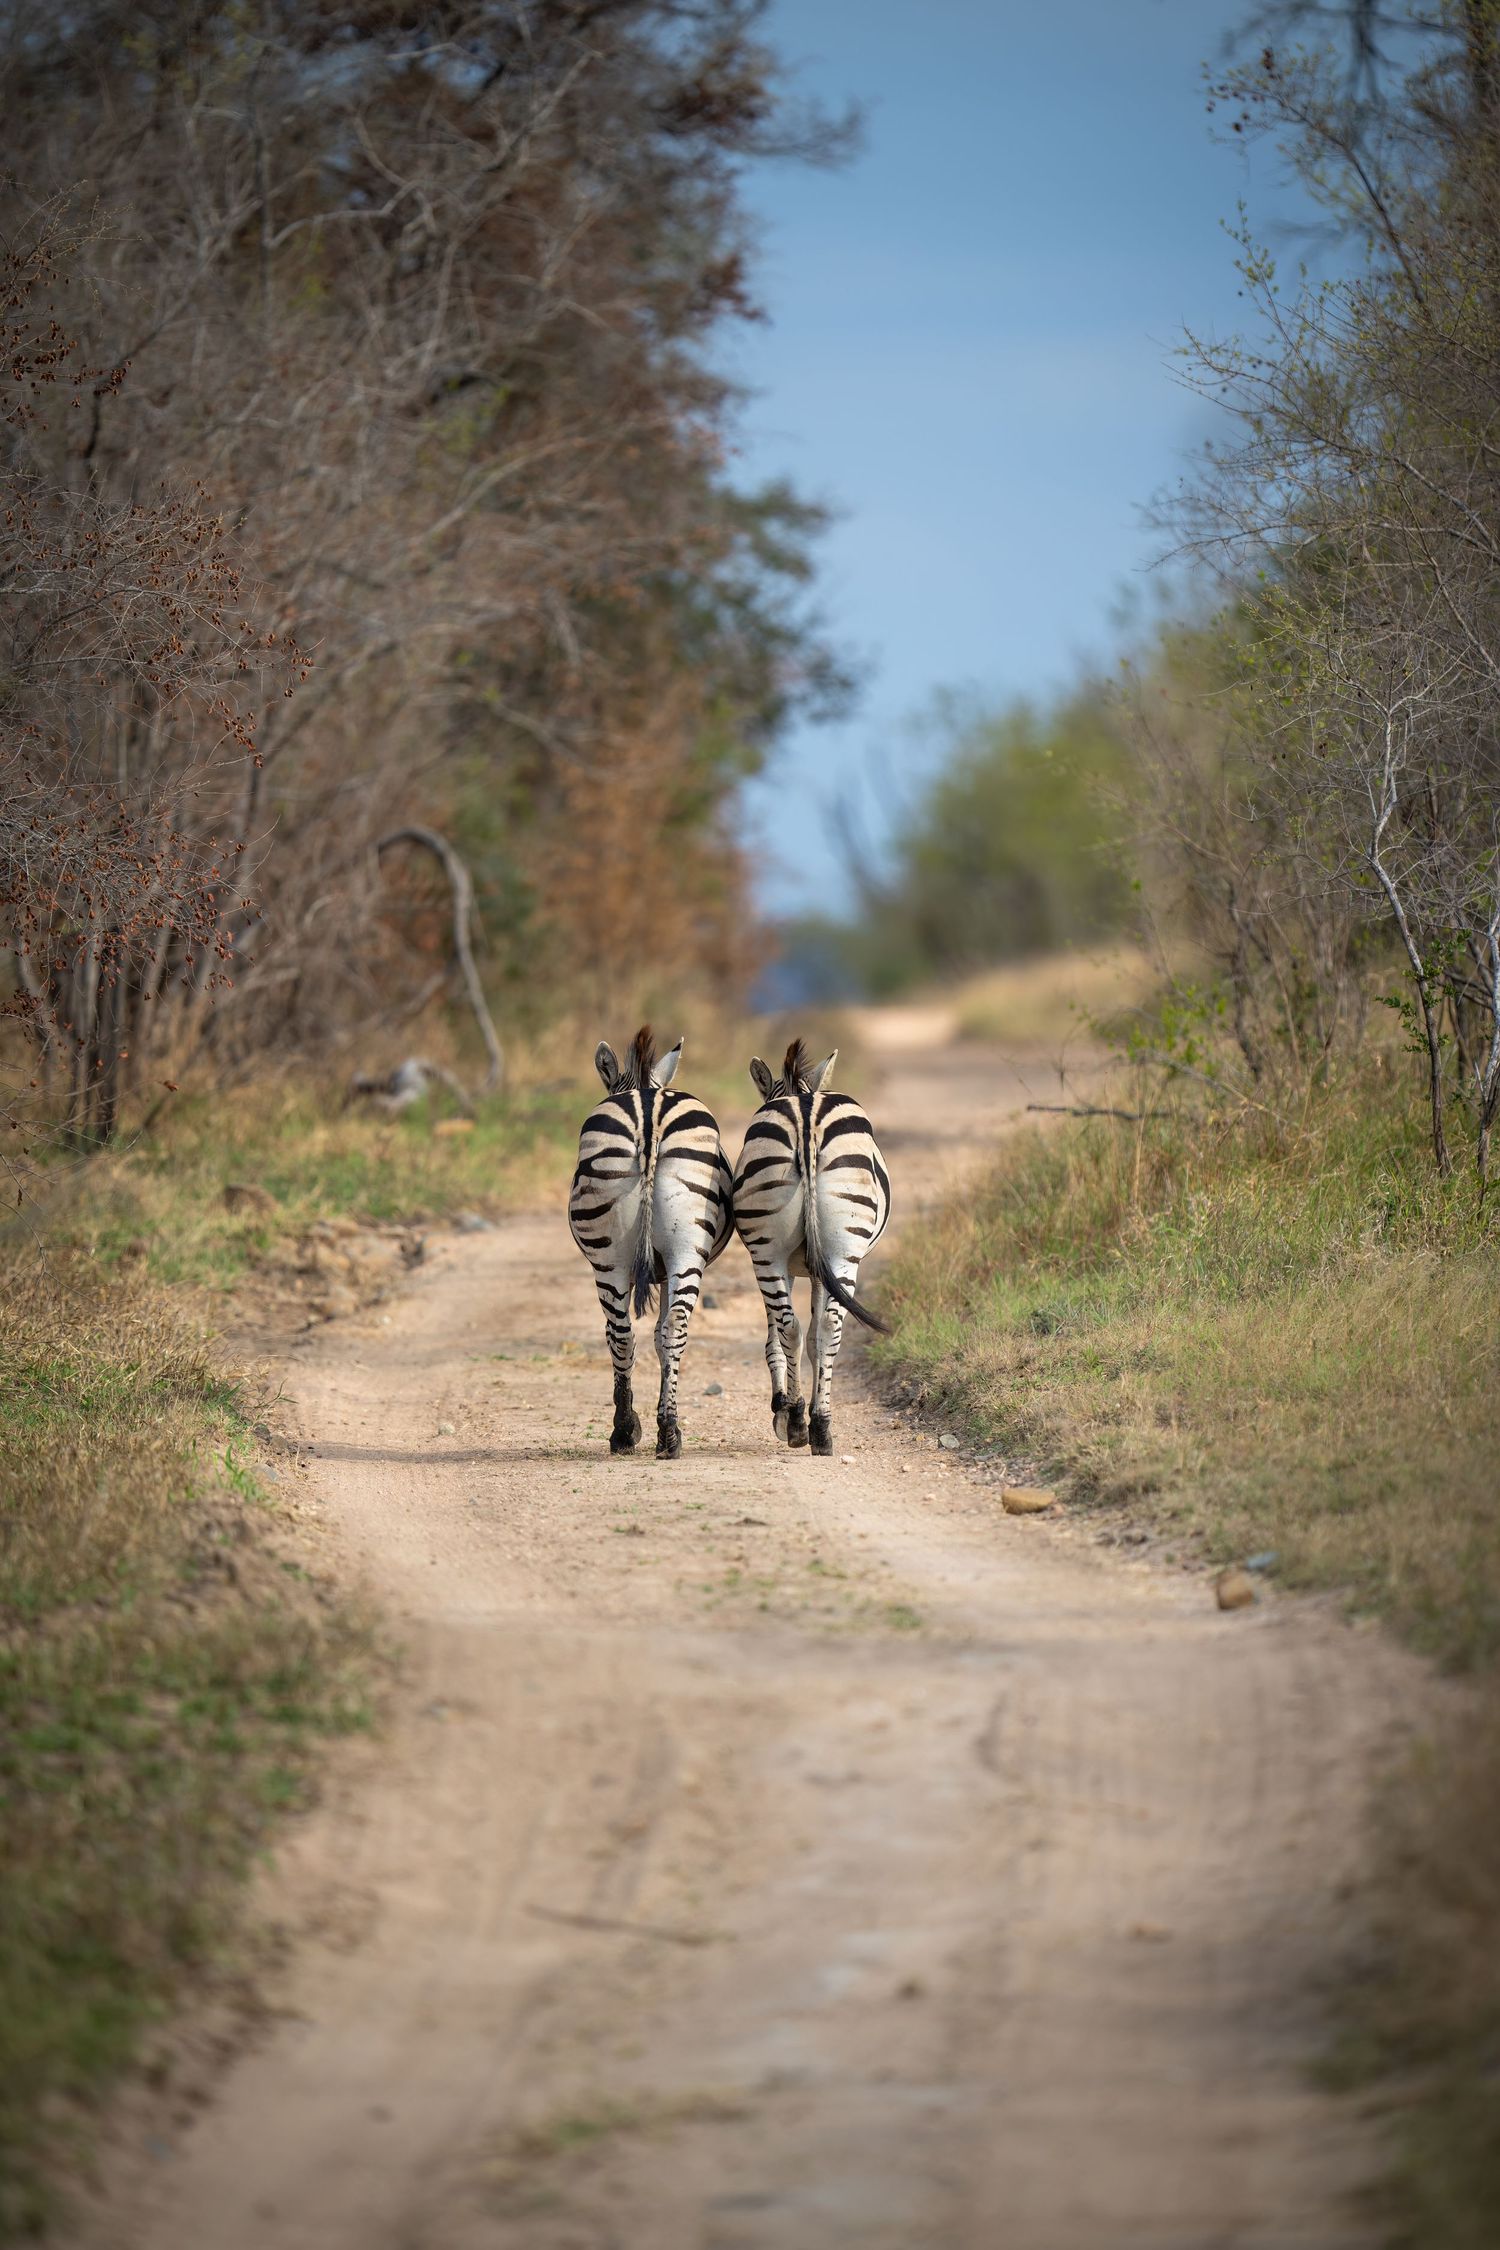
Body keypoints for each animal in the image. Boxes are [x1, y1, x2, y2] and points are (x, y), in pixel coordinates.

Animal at [568, 1025, 733, 1460]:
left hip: (617, 1258)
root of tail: (647, 1112)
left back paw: (638, 1432)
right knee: (657, 1330)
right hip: (680, 1249)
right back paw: (654, 1433)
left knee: (624, 1333)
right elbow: (658, 1336)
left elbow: (651, 1335)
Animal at [732, 1038, 891, 1456]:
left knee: (796, 1327)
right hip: (836, 1251)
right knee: (823, 1327)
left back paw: (804, 1423)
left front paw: (783, 1410)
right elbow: (810, 1339)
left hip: (772, 1254)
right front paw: (788, 1410)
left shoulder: (797, 1267)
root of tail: (805, 1118)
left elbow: (783, 1338)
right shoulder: (816, 1270)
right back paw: (814, 1425)